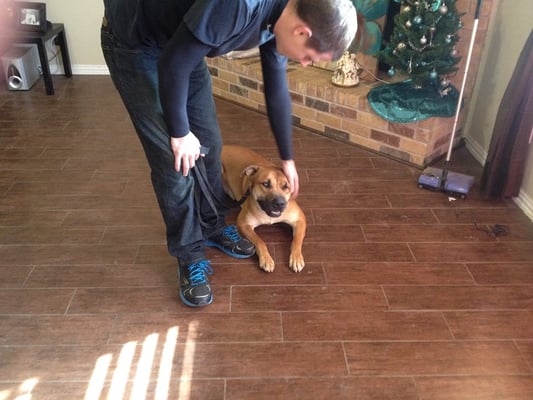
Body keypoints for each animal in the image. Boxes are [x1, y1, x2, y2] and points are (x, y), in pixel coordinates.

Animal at [220, 145, 306, 274]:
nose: (279, 203)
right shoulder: (244, 224)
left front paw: (296, 257)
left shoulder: (300, 219)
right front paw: (266, 259)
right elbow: (260, 241)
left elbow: (297, 240)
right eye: (266, 184)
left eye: (286, 186)